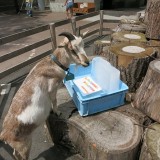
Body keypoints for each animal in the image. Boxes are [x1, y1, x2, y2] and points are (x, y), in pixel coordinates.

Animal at [0, 31, 89, 160]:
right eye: (72, 48)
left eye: (83, 44)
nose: (87, 62)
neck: (53, 64)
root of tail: (4, 135)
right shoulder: (52, 88)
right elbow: (54, 100)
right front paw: (57, 112)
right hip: (25, 146)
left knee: (15, 154)